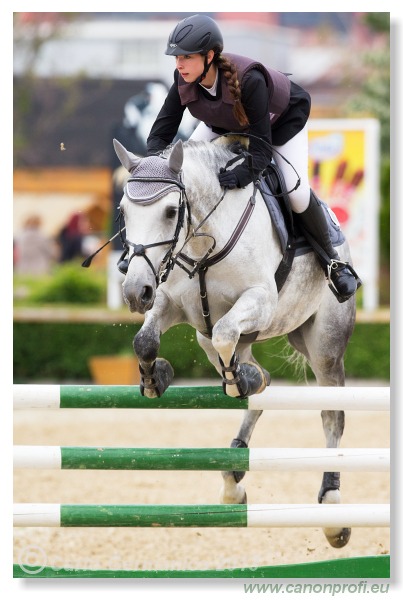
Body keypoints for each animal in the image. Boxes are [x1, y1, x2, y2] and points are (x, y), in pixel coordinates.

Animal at [113, 136, 356, 548]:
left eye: (171, 211)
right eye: (123, 211)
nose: (134, 292)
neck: (203, 242)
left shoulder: (259, 300)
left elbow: (227, 332)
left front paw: (232, 379)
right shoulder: (171, 304)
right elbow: (144, 340)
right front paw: (154, 377)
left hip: (324, 345)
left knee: (331, 415)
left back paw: (333, 507)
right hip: (207, 337)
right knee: (257, 384)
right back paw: (233, 480)